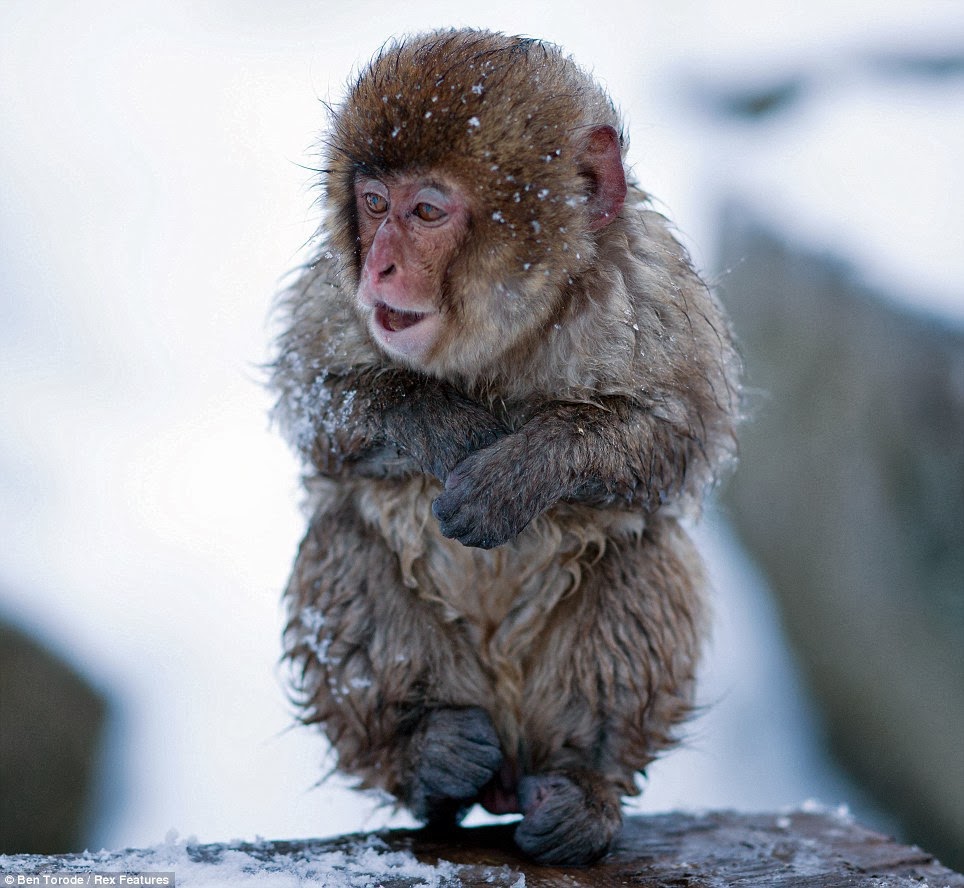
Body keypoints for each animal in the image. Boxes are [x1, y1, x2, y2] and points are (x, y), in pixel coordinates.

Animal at [274, 29, 740, 868]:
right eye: (373, 205)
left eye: (428, 211)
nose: (380, 265)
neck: (502, 337)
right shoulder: (336, 294)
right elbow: (311, 394)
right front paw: (444, 426)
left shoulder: (648, 285)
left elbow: (683, 430)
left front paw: (520, 471)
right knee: (344, 535)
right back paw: (426, 756)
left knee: (645, 553)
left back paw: (582, 786)